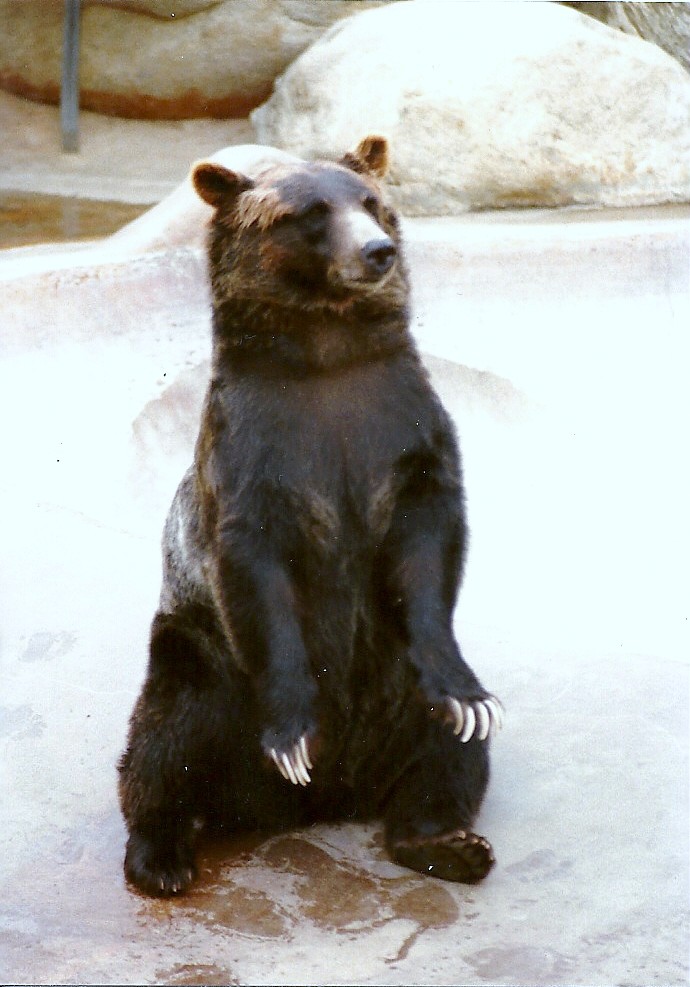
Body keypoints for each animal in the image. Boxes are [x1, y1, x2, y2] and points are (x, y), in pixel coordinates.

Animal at [118, 135, 503, 897]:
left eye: (372, 201)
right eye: (308, 212)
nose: (378, 250)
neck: (327, 357)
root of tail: (327, 801)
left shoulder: (401, 427)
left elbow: (428, 543)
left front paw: (465, 694)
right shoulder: (255, 452)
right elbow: (258, 576)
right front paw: (294, 732)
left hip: (393, 685)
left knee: (445, 758)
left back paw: (446, 841)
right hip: (202, 657)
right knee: (164, 734)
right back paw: (162, 855)